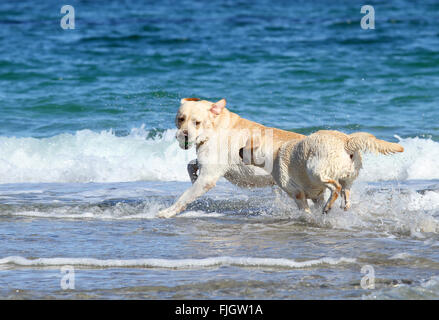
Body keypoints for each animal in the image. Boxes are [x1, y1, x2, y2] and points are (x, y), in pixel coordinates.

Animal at [158, 97, 306, 218]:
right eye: (181, 119)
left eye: (197, 122)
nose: (184, 135)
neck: (214, 128)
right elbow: (190, 165)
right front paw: (194, 177)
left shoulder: (208, 177)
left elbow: (184, 197)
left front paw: (167, 212)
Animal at [244, 129, 406, 214]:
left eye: (245, 148)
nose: (239, 150)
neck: (275, 152)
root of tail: (346, 141)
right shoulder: (317, 195)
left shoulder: (297, 193)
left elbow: (304, 208)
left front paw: (307, 217)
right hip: (348, 176)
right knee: (345, 191)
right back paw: (342, 205)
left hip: (315, 170)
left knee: (336, 187)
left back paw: (328, 207)